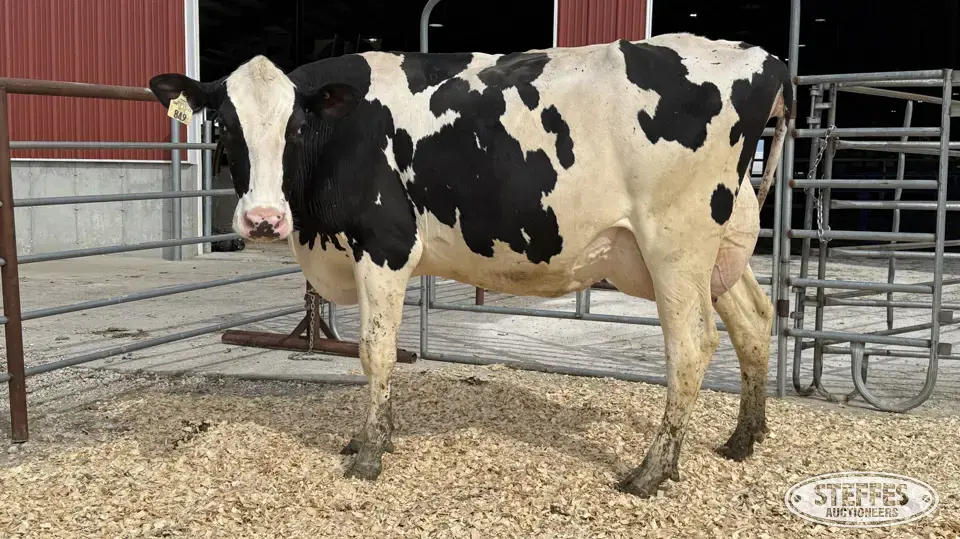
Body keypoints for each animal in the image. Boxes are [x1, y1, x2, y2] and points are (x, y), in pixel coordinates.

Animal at [148, 32, 791, 498]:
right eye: (223, 124)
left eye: (297, 126)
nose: (262, 219)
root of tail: (762, 57)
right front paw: (368, 441)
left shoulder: (385, 244)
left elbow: (375, 351)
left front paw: (370, 453)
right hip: (717, 252)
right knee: (754, 321)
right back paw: (744, 438)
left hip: (674, 246)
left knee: (692, 345)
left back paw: (651, 472)